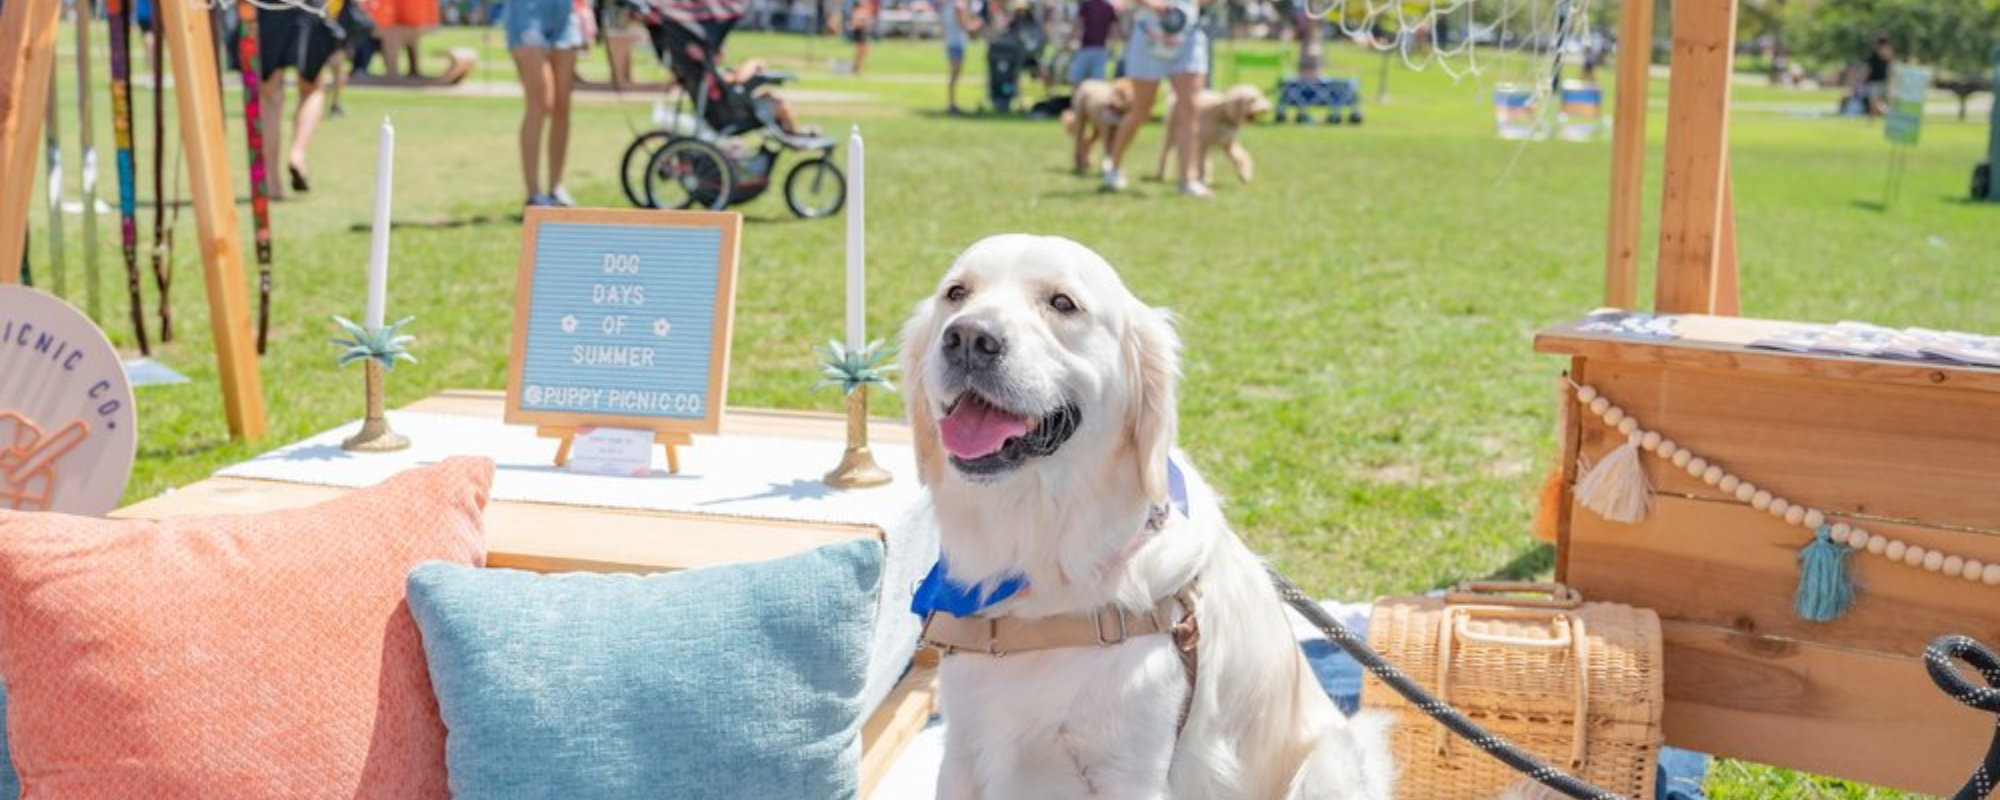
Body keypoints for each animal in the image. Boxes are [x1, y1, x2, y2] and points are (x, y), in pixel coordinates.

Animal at [904, 233, 1392, 800]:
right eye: (956, 294)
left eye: (1062, 303)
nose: (967, 337)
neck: (1044, 555)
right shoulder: (962, 751)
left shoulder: (1131, 769)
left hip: (1331, 760)